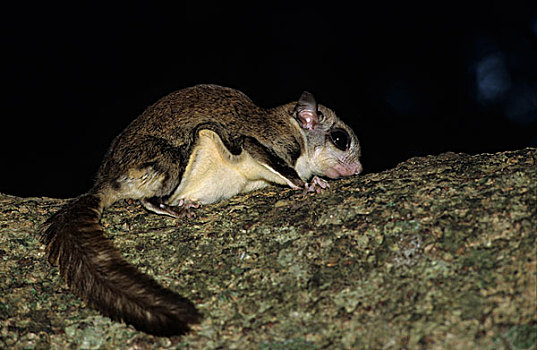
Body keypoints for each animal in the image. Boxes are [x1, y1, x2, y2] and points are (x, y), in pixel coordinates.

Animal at [39, 84, 362, 336]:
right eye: (340, 139)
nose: (358, 170)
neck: (294, 132)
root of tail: (106, 182)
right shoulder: (263, 144)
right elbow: (284, 170)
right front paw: (308, 185)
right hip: (172, 158)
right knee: (149, 200)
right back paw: (175, 209)